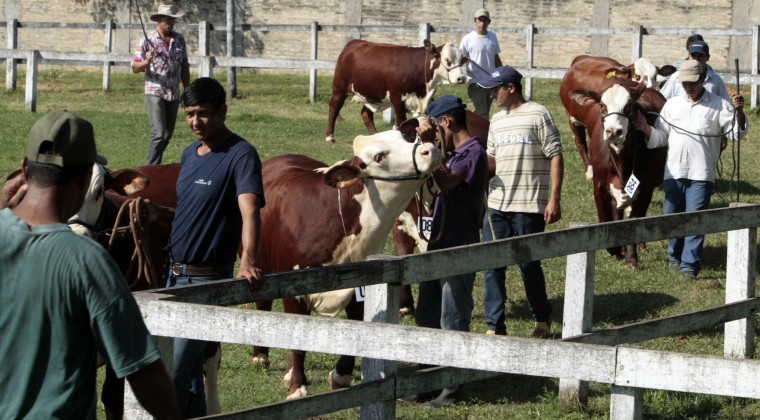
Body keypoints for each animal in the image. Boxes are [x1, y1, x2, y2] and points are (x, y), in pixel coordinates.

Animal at [255, 120, 442, 398]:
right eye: (379, 156)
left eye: (406, 138)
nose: (429, 149)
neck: (337, 212)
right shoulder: (293, 288)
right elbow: (297, 338)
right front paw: (298, 386)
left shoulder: (360, 284)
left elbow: (356, 327)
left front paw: (340, 374)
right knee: (263, 302)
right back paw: (261, 356)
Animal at [326, 40, 470, 144]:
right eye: (447, 61)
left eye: (461, 60)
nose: (461, 78)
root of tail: (353, 43)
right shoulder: (397, 99)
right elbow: (402, 122)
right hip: (339, 88)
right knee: (334, 107)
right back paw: (329, 137)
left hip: (372, 94)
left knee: (366, 114)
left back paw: (375, 136)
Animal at [564, 75, 664, 266]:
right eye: (602, 105)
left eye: (629, 105)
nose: (613, 131)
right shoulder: (599, 185)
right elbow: (606, 218)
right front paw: (616, 250)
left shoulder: (645, 187)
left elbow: (634, 221)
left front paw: (631, 258)